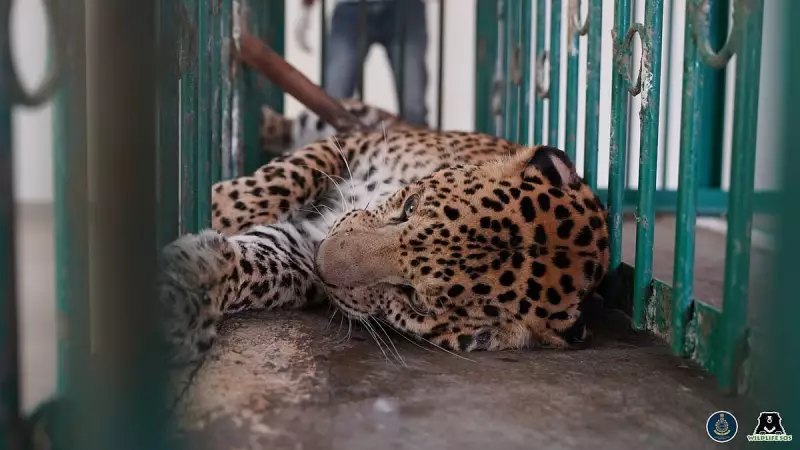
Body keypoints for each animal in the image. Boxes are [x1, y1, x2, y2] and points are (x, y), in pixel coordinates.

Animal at [159, 127, 612, 365]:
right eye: (410, 206)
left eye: (417, 301)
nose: (322, 261)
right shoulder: (356, 141)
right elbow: (278, 180)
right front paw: (214, 204)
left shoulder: (300, 251)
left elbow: (261, 263)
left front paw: (188, 289)